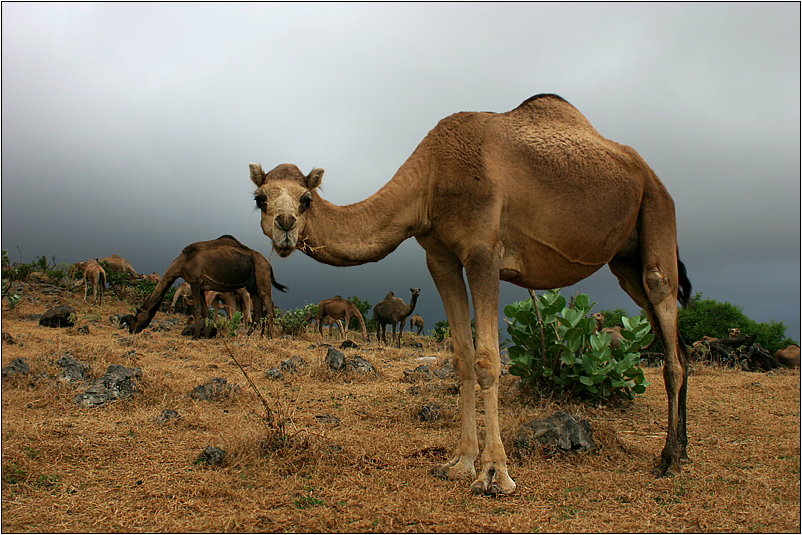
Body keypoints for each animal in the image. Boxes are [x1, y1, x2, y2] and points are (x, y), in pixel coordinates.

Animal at [248, 93, 688, 498]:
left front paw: (494, 473)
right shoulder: (439, 257)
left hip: (657, 210)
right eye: (261, 198)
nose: (285, 226)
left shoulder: (482, 251)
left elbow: (487, 359)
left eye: (305, 199)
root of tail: (647, 171)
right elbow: (461, 357)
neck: (430, 179)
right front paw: (459, 462)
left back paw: (667, 459)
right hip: (624, 260)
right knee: (675, 342)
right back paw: (681, 452)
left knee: (665, 310)